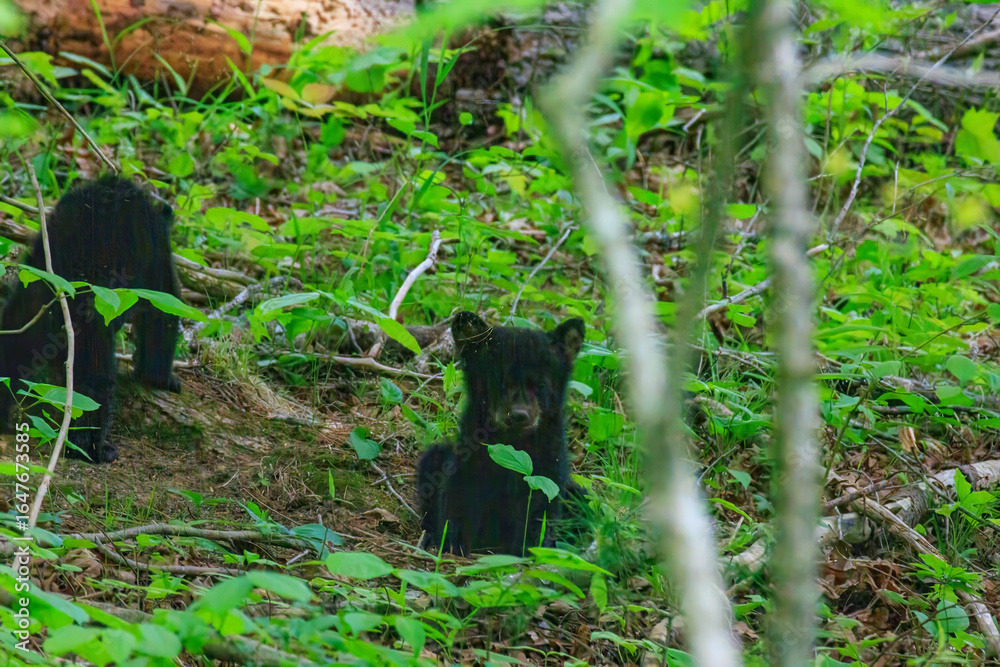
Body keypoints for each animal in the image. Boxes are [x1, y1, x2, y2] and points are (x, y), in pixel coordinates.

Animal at [0, 176, 181, 463]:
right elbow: (163, 316)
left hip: (34, 295)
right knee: (90, 382)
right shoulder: (158, 262)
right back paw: (92, 448)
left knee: (13, 343)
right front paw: (162, 379)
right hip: (88, 314)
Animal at [417, 311, 585, 556]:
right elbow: (457, 501)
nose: (519, 415)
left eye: (541, 385)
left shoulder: (548, 473)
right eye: (501, 380)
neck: (513, 445)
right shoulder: (467, 467)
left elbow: (539, 513)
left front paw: (529, 549)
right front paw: (452, 541)